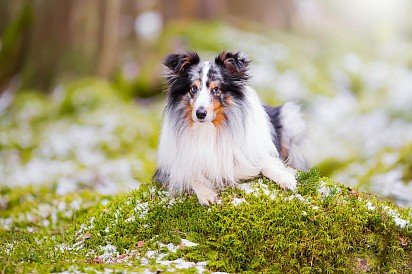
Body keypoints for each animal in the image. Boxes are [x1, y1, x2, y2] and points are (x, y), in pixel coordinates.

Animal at [154, 50, 306, 204]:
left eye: (216, 89)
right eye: (193, 88)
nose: (200, 113)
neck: (208, 129)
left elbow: (265, 163)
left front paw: (285, 178)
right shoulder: (168, 169)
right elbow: (190, 174)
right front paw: (206, 194)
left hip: (289, 117)